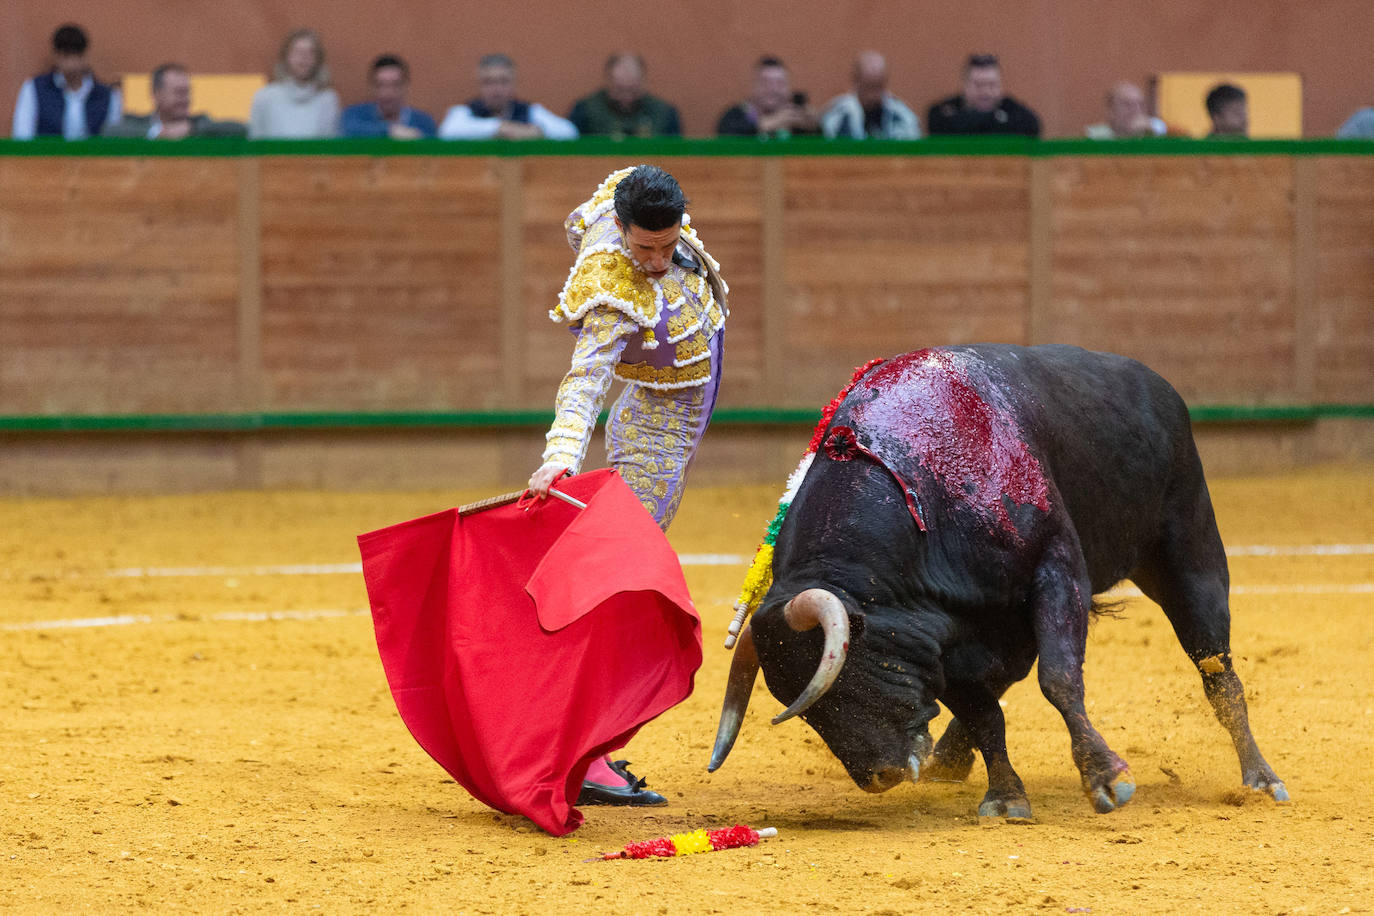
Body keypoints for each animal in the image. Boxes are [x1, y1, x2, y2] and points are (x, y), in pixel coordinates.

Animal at [708, 347, 1286, 818]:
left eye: (843, 676)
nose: (879, 776)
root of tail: (1156, 385)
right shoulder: (939, 639)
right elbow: (985, 712)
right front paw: (1006, 797)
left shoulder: (1056, 570)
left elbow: (1058, 679)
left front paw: (1107, 778)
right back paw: (949, 758)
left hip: (1190, 558)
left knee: (1218, 672)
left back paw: (1260, 779)